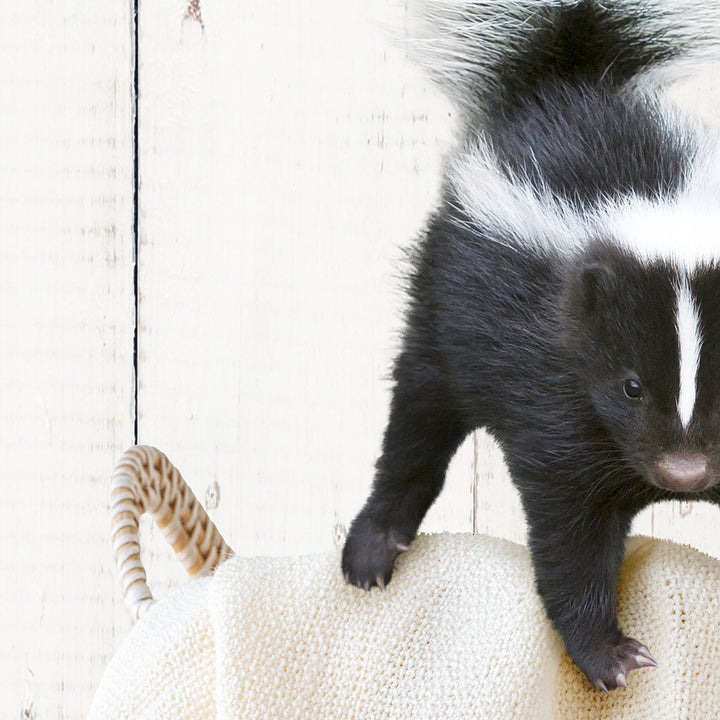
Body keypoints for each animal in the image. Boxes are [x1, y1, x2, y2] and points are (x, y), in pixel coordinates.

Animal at [340, 0, 720, 692]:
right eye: (630, 386)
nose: (685, 473)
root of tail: (568, 80)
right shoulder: (557, 394)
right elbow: (573, 533)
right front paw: (609, 655)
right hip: (444, 305)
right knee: (416, 418)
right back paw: (374, 547)